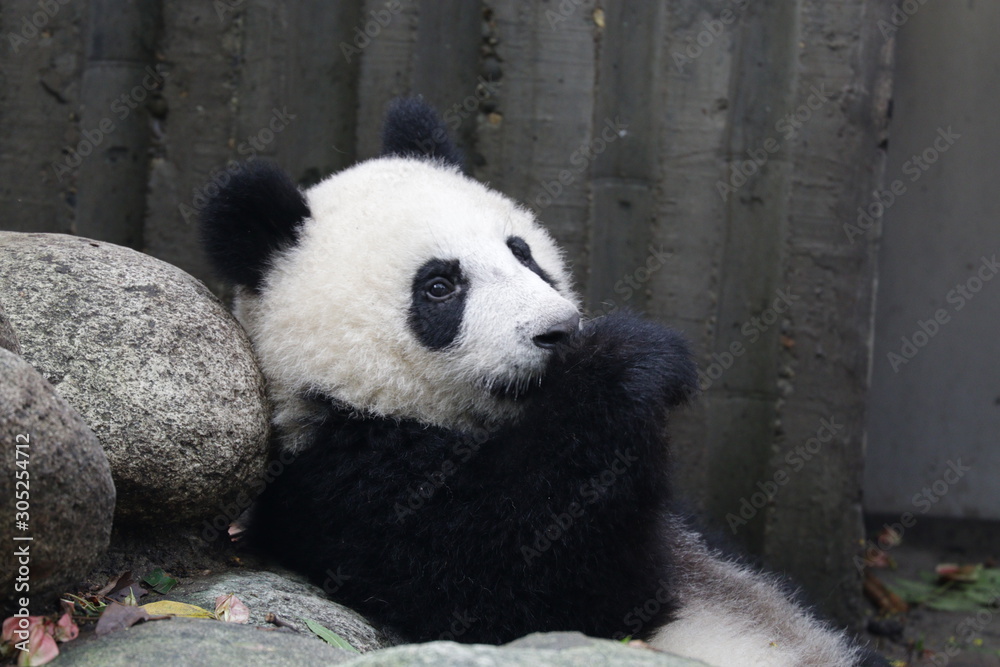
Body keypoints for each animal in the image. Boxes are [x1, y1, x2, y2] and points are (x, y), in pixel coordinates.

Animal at [200, 98, 886, 666]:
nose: (559, 332)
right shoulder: (351, 486)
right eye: (439, 286)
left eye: (522, 252)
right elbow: (530, 575)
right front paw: (629, 361)